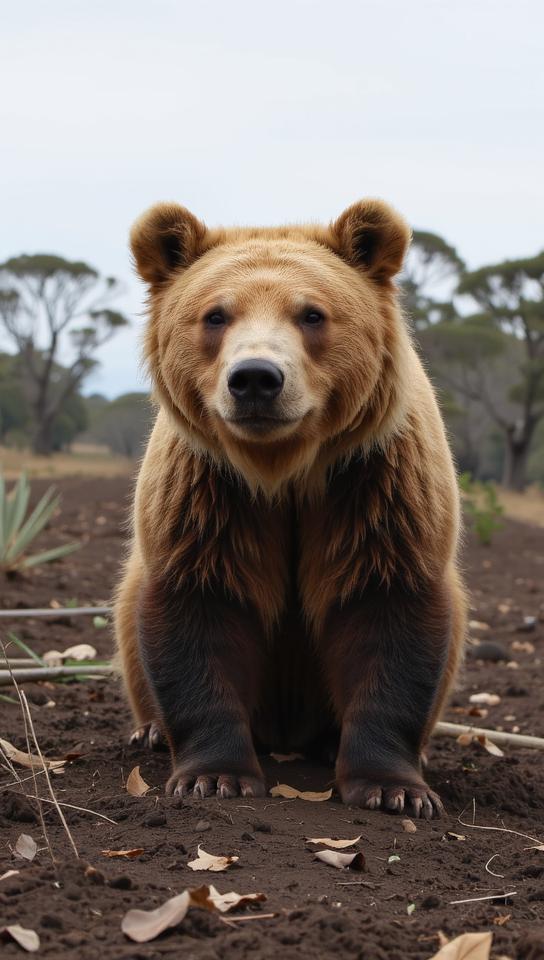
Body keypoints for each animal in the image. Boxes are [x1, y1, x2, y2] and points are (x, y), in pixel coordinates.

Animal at [114, 198, 467, 819]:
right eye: (215, 315)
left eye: (312, 314)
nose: (256, 378)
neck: (284, 471)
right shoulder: (209, 495)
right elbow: (200, 608)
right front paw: (215, 776)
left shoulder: (375, 485)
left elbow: (389, 614)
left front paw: (395, 789)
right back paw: (151, 730)